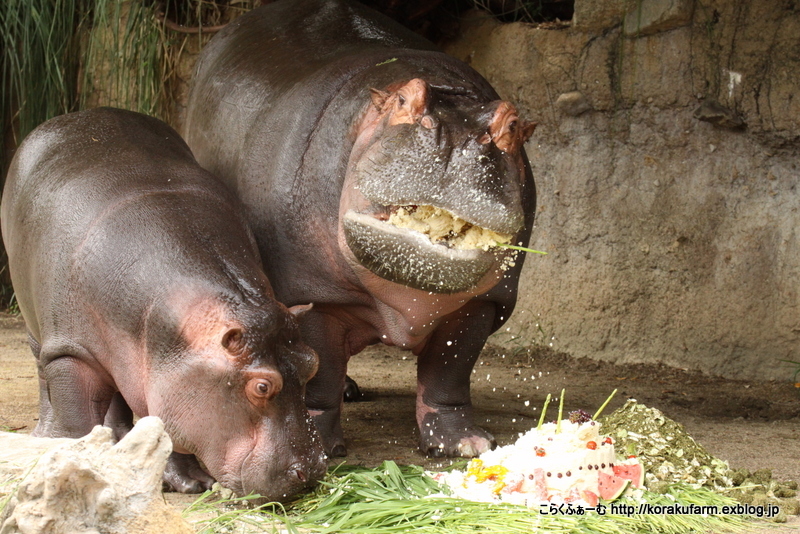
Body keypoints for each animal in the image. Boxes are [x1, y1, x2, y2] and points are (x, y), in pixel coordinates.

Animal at [0, 109, 326, 502]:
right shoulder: (70, 353)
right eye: (262, 387)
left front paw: (193, 483)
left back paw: (118, 444)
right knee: (43, 376)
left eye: (312, 364)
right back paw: (47, 437)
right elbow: (76, 417)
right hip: (40, 332)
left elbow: (166, 427)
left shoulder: (169, 373)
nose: (312, 470)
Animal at [186, 0, 536, 460]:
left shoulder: (481, 305)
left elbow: (450, 372)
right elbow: (320, 369)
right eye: (404, 98)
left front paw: (464, 444)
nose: (456, 141)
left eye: (512, 125)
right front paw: (322, 444)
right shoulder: (317, 296)